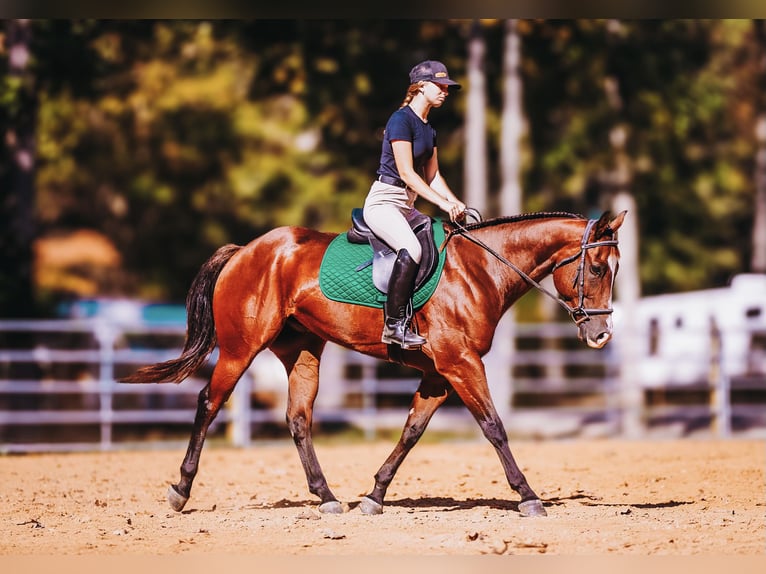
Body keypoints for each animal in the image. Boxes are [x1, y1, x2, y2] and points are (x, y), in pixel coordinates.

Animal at [120, 209, 627, 518]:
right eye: (598, 268)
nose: (601, 335)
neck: (480, 270)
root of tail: (245, 250)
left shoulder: (438, 374)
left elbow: (411, 432)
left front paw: (374, 495)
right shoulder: (461, 365)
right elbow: (494, 427)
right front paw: (529, 496)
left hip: (302, 351)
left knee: (297, 418)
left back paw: (327, 497)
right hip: (240, 349)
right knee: (208, 402)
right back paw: (180, 491)